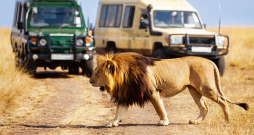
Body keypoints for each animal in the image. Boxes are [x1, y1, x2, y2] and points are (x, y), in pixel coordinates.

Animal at [89, 52, 248, 127]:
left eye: (97, 72)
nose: (90, 81)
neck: (123, 76)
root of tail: (210, 61)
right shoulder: (126, 95)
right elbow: (119, 112)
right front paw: (112, 123)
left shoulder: (153, 92)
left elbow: (159, 108)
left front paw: (164, 121)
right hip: (194, 90)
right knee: (204, 107)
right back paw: (196, 121)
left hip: (206, 88)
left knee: (222, 101)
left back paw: (227, 121)